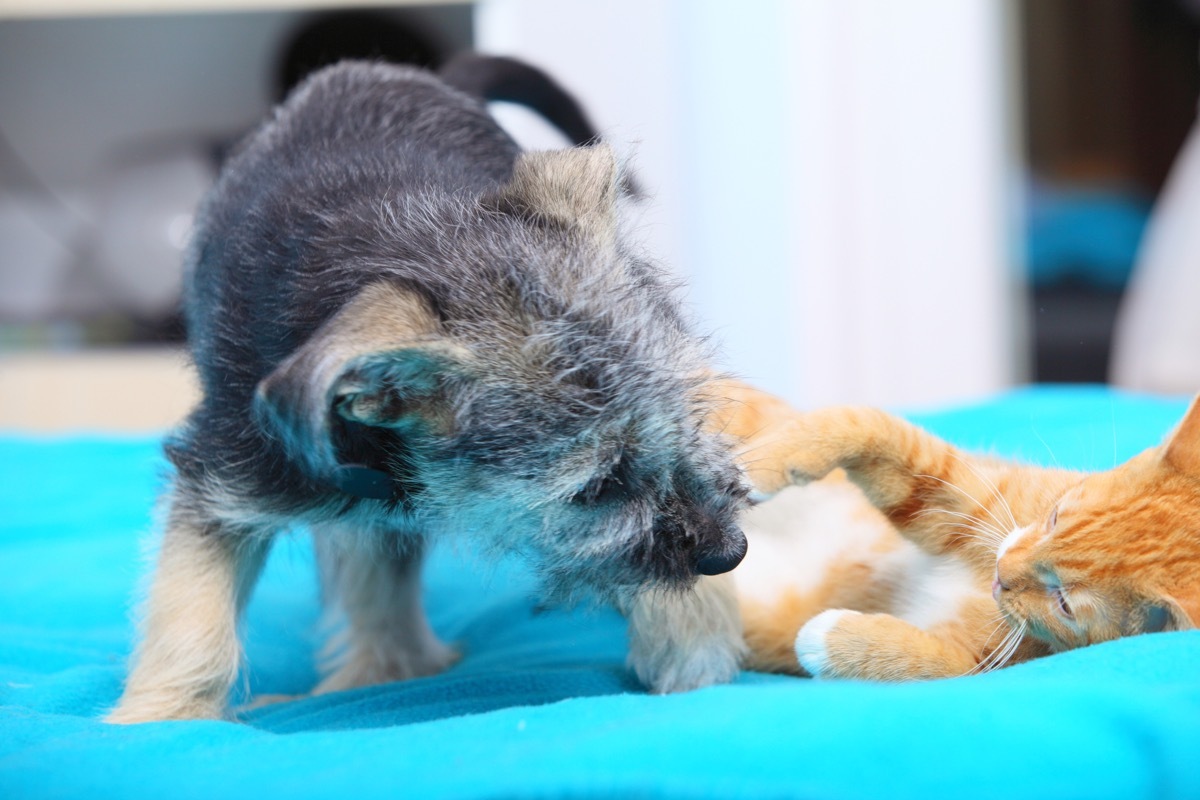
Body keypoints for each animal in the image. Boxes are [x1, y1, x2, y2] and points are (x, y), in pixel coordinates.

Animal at [112, 59, 748, 724]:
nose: (730, 553)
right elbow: (193, 611)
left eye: (689, 419)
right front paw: (165, 718)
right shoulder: (223, 477)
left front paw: (693, 638)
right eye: (596, 489)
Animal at [705, 381, 1200, 681]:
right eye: (1055, 515)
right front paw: (760, 467)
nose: (1003, 571)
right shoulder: (954, 490)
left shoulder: (979, 662)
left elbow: (924, 663)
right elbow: (869, 427)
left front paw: (826, 638)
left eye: (1064, 603)